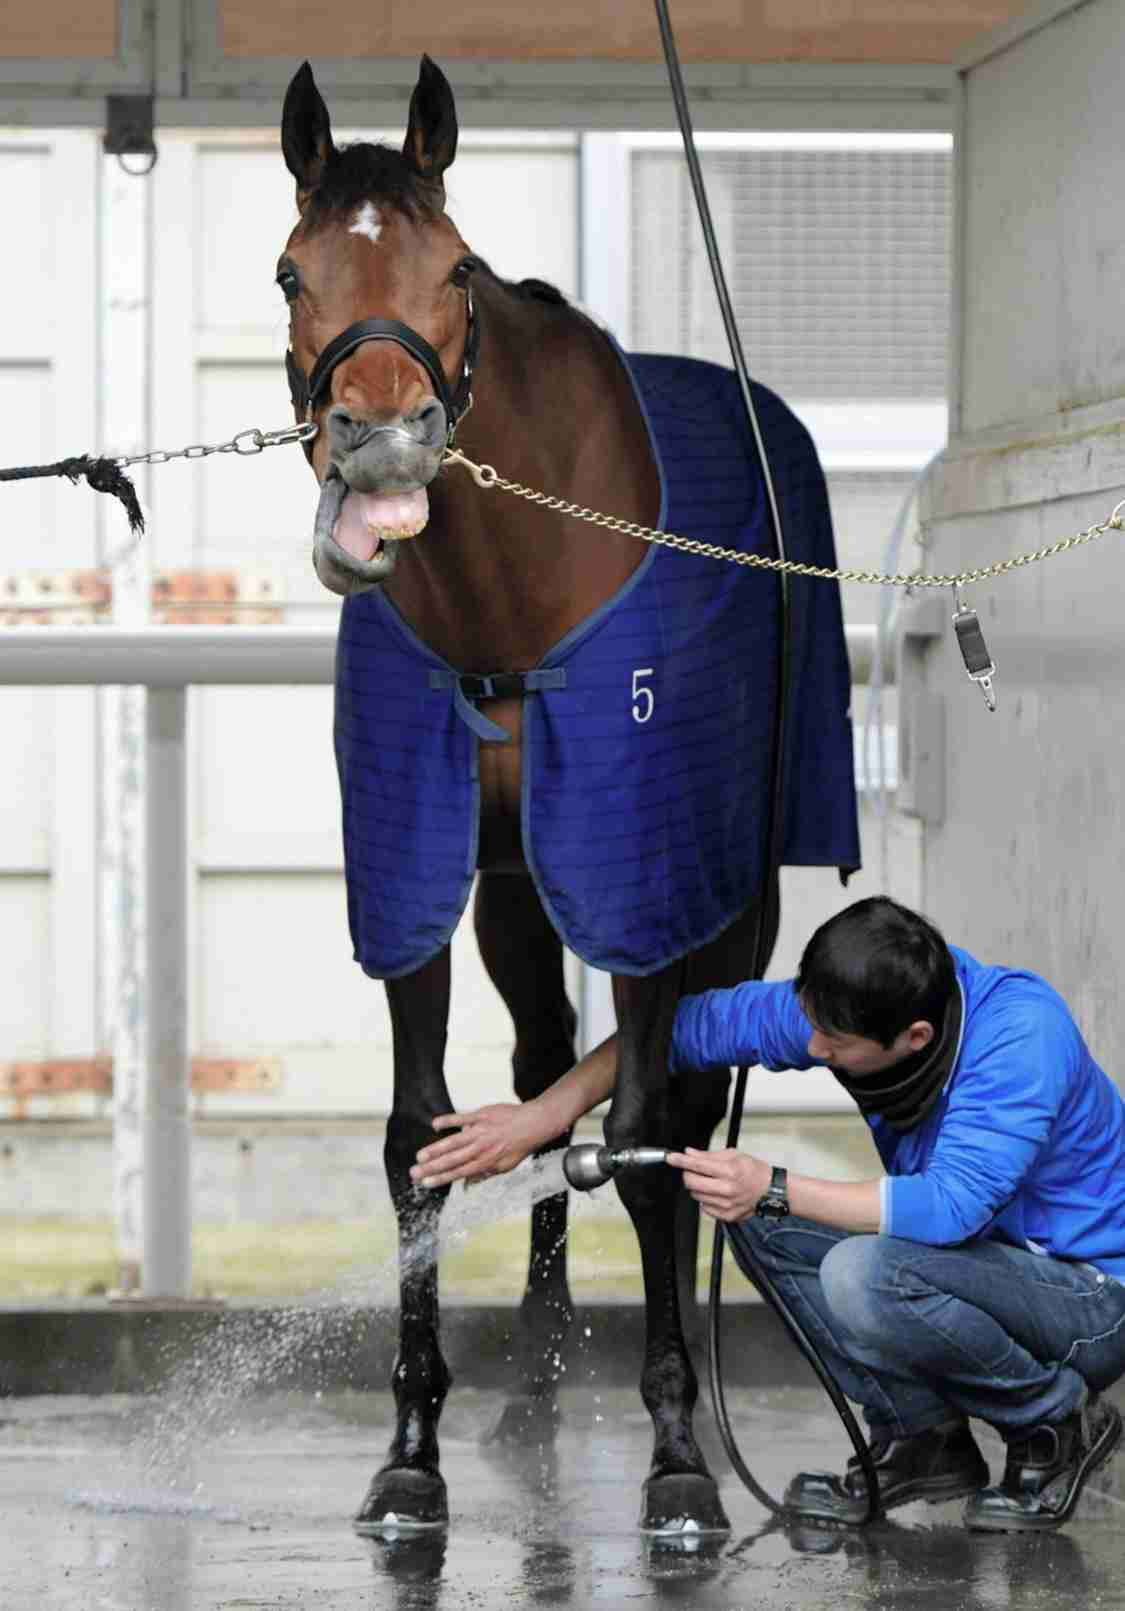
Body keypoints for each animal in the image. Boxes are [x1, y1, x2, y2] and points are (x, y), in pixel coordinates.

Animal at [277, 55, 860, 1534]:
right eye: (293, 271)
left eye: (454, 268)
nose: (381, 447)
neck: (513, 596)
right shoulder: (420, 865)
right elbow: (417, 1138)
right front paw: (410, 1443)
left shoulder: (648, 872)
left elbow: (647, 1126)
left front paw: (678, 1454)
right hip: (522, 889)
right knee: (545, 1062)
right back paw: (536, 1372)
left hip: (727, 890)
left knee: (681, 1100)